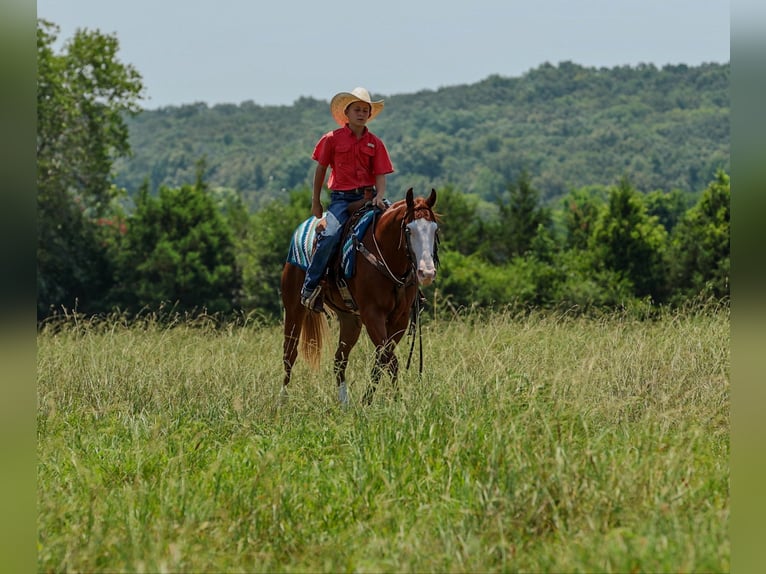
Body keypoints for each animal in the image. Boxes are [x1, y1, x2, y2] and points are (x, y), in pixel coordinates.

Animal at [280, 188, 439, 405]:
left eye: (435, 230)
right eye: (409, 230)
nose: (427, 273)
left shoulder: (401, 318)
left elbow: (383, 358)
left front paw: (369, 401)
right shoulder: (372, 314)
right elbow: (390, 359)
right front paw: (396, 401)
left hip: (350, 320)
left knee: (339, 359)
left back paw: (344, 404)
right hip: (294, 308)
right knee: (290, 353)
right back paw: (281, 402)